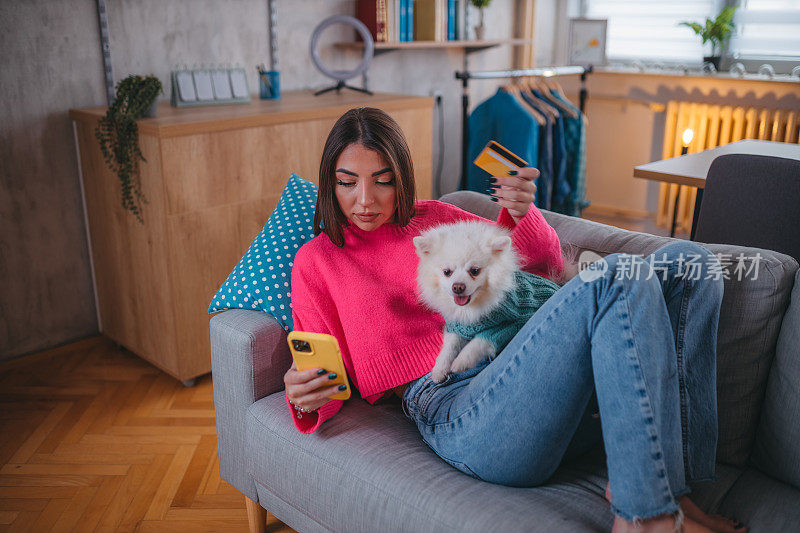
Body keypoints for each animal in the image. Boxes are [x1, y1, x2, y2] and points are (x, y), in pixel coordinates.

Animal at [416, 220, 560, 382]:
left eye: (475, 271)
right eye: (447, 272)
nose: (458, 287)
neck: (469, 308)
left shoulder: (507, 327)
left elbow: (478, 343)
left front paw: (460, 362)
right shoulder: (456, 327)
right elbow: (450, 346)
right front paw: (440, 369)